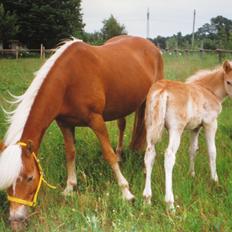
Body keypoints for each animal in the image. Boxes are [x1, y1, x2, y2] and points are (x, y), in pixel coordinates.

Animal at [0, 35, 163, 228]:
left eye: (30, 178)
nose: (15, 221)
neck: (69, 79)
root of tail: (152, 46)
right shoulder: (65, 124)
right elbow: (70, 153)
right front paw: (69, 188)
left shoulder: (96, 120)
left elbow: (108, 154)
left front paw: (127, 193)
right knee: (121, 125)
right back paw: (120, 155)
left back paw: (145, 166)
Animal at [143, 59, 232, 210]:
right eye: (228, 82)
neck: (208, 90)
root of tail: (163, 89)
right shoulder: (210, 123)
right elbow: (212, 151)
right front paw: (215, 180)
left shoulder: (195, 128)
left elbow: (192, 150)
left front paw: (191, 174)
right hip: (175, 129)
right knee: (169, 156)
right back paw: (170, 204)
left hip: (150, 127)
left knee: (150, 155)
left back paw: (147, 199)